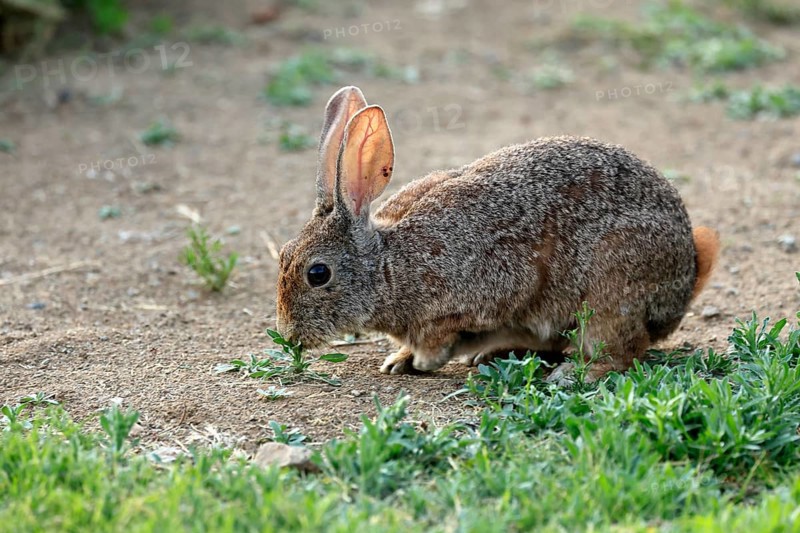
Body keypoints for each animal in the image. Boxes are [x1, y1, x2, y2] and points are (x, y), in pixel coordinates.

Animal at [276, 85, 720, 382]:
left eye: (318, 274)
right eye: (282, 254)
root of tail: (683, 285)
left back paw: (575, 374)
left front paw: (422, 359)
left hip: (612, 288)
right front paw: (399, 360)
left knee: (621, 350)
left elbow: (445, 332)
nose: (288, 335)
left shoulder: (491, 285)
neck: (388, 267)